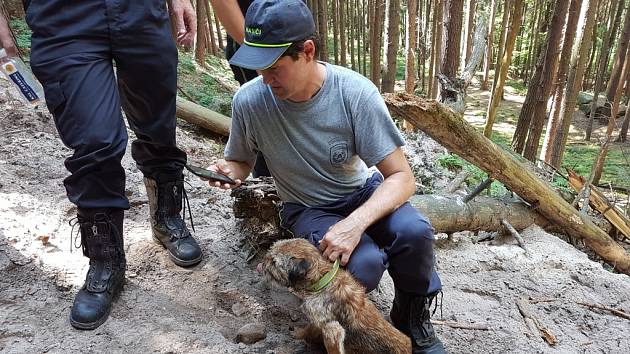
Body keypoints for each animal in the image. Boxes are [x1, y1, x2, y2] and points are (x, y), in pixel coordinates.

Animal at [260, 238, 412, 354]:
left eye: (274, 262)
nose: (262, 262)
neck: (322, 280)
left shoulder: (328, 327)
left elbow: (309, 331)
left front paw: (298, 334)